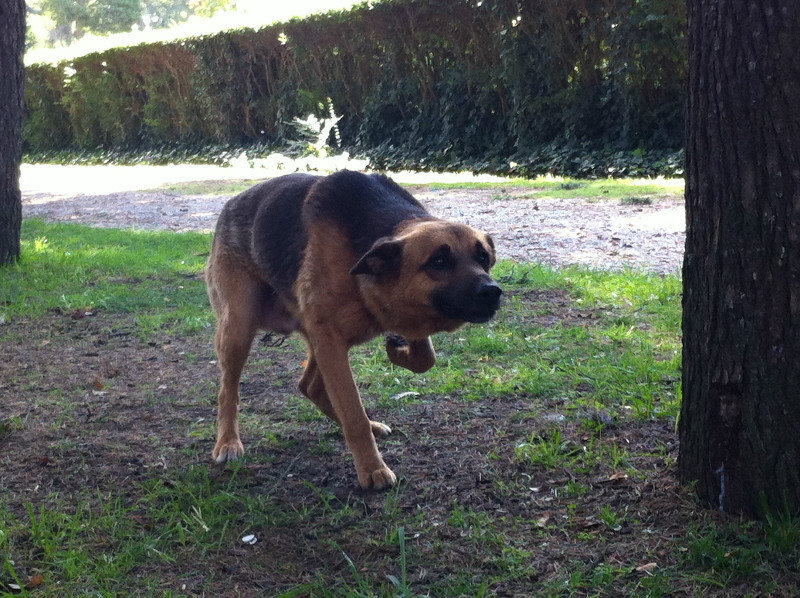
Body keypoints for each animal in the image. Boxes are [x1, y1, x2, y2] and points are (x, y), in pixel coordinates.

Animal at [206, 171, 500, 490]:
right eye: (439, 261)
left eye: (483, 258)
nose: (492, 292)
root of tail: (231, 203)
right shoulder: (330, 340)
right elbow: (353, 414)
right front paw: (372, 469)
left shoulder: (350, 332)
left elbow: (425, 358)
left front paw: (398, 350)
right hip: (239, 328)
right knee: (228, 392)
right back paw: (227, 442)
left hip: (316, 338)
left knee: (309, 386)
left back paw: (369, 420)